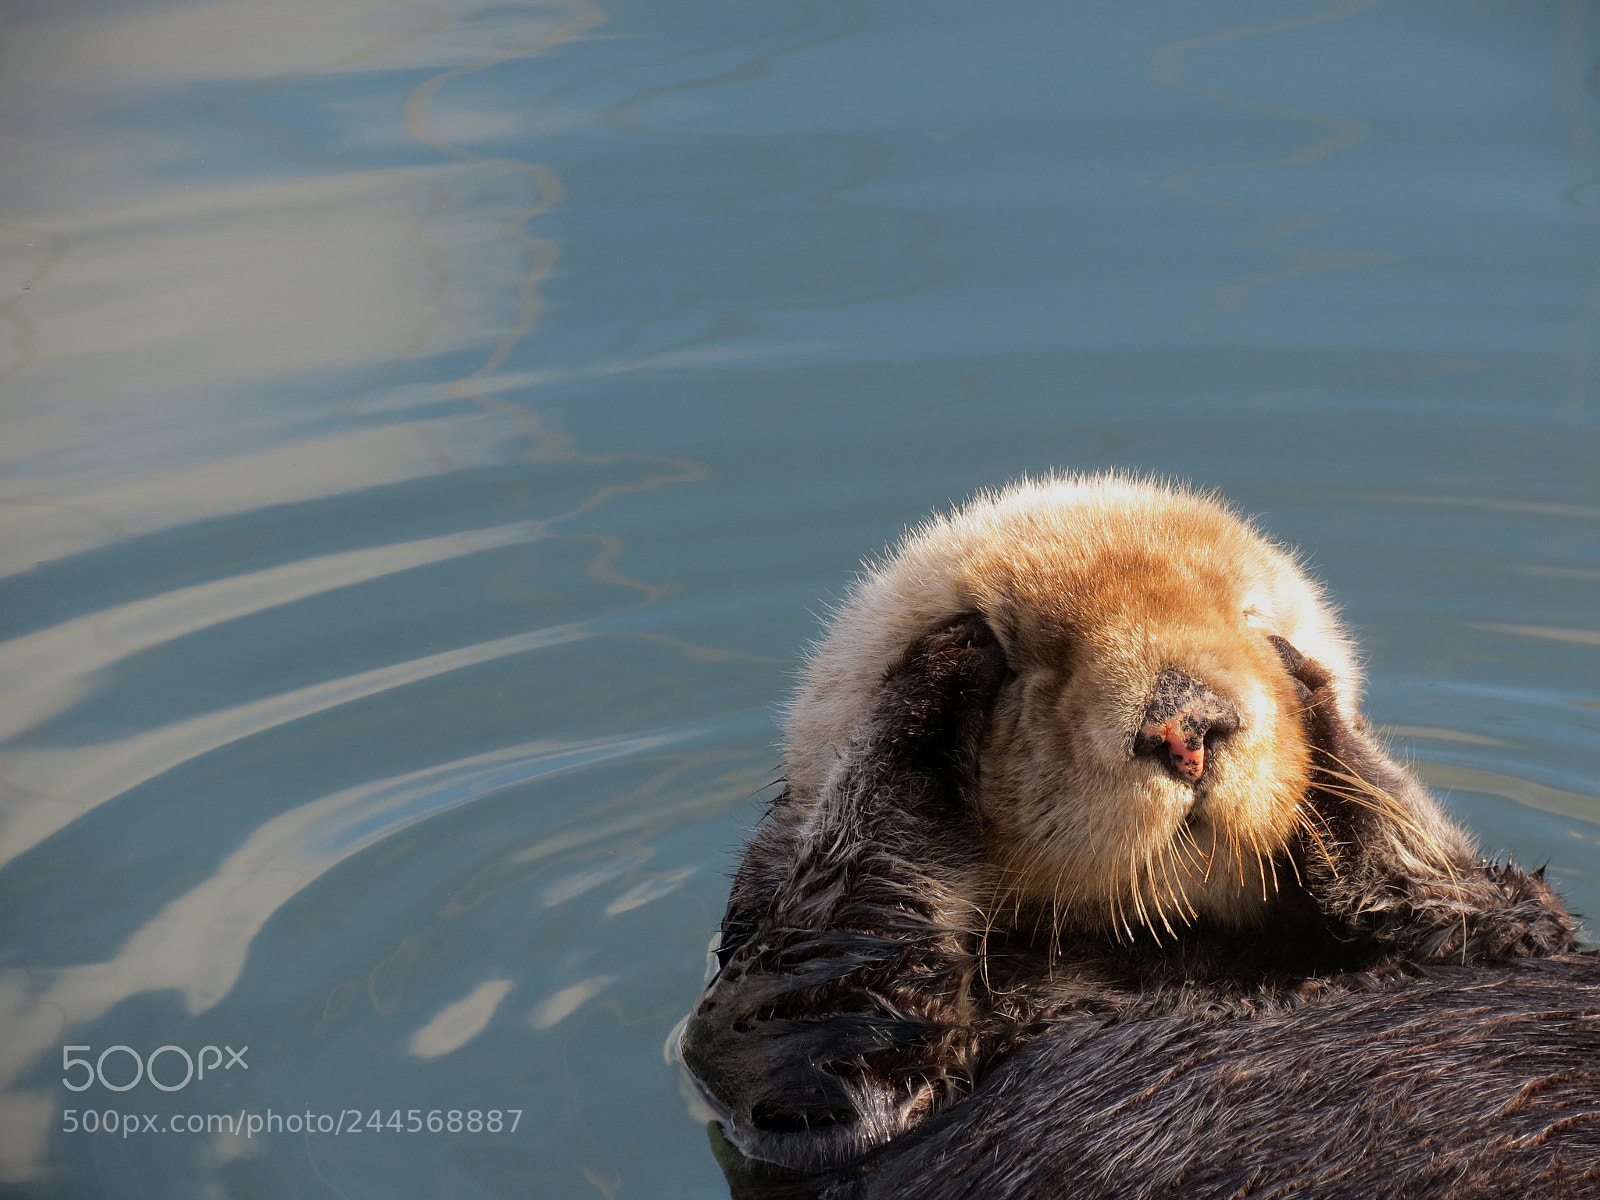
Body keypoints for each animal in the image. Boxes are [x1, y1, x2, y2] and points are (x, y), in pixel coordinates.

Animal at [680, 475, 1593, 1199]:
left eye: (1248, 618)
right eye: (1026, 658)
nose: (1187, 724)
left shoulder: (1485, 932)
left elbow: (1497, 916)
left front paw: (1317, 698)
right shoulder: (803, 1068)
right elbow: (813, 1018)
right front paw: (936, 674)